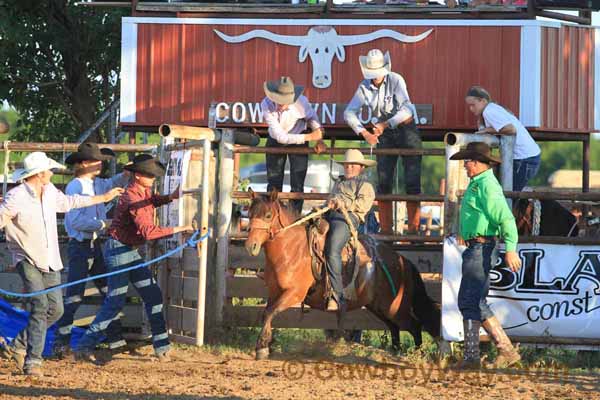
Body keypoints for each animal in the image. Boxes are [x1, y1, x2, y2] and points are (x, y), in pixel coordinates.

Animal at [244, 190, 440, 360]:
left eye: (268, 215)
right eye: (250, 214)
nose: (250, 246)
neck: (292, 248)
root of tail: (403, 261)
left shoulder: (294, 293)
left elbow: (270, 312)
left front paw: (262, 347)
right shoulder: (274, 293)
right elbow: (266, 313)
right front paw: (266, 344)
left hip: (395, 307)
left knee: (414, 326)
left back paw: (417, 354)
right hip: (380, 307)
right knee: (394, 327)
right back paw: (395, 352)